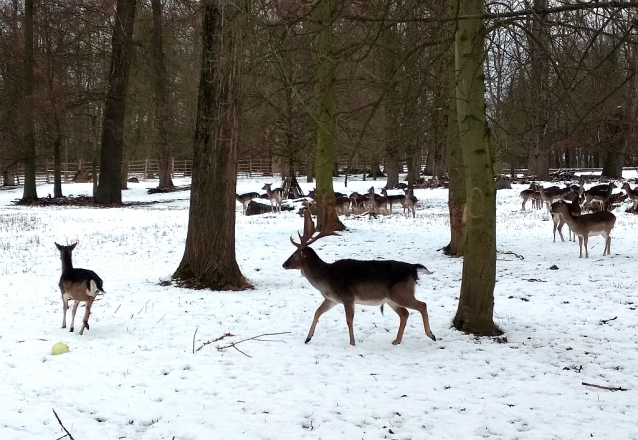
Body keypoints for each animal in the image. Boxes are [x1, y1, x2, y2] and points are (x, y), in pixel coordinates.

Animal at [284, 208, 438, 346]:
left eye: (295, 255)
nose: (284, 264)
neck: (326, 280)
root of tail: (414, 268)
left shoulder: (347, 297)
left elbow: (349, 320)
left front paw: (352, 342)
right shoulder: (331, 299)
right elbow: (317, 312)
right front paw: (308, 338)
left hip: (401, 293)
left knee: (422, 305)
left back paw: (431, 335)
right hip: (391, 298)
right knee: (404, 313)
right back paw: (396, 340)